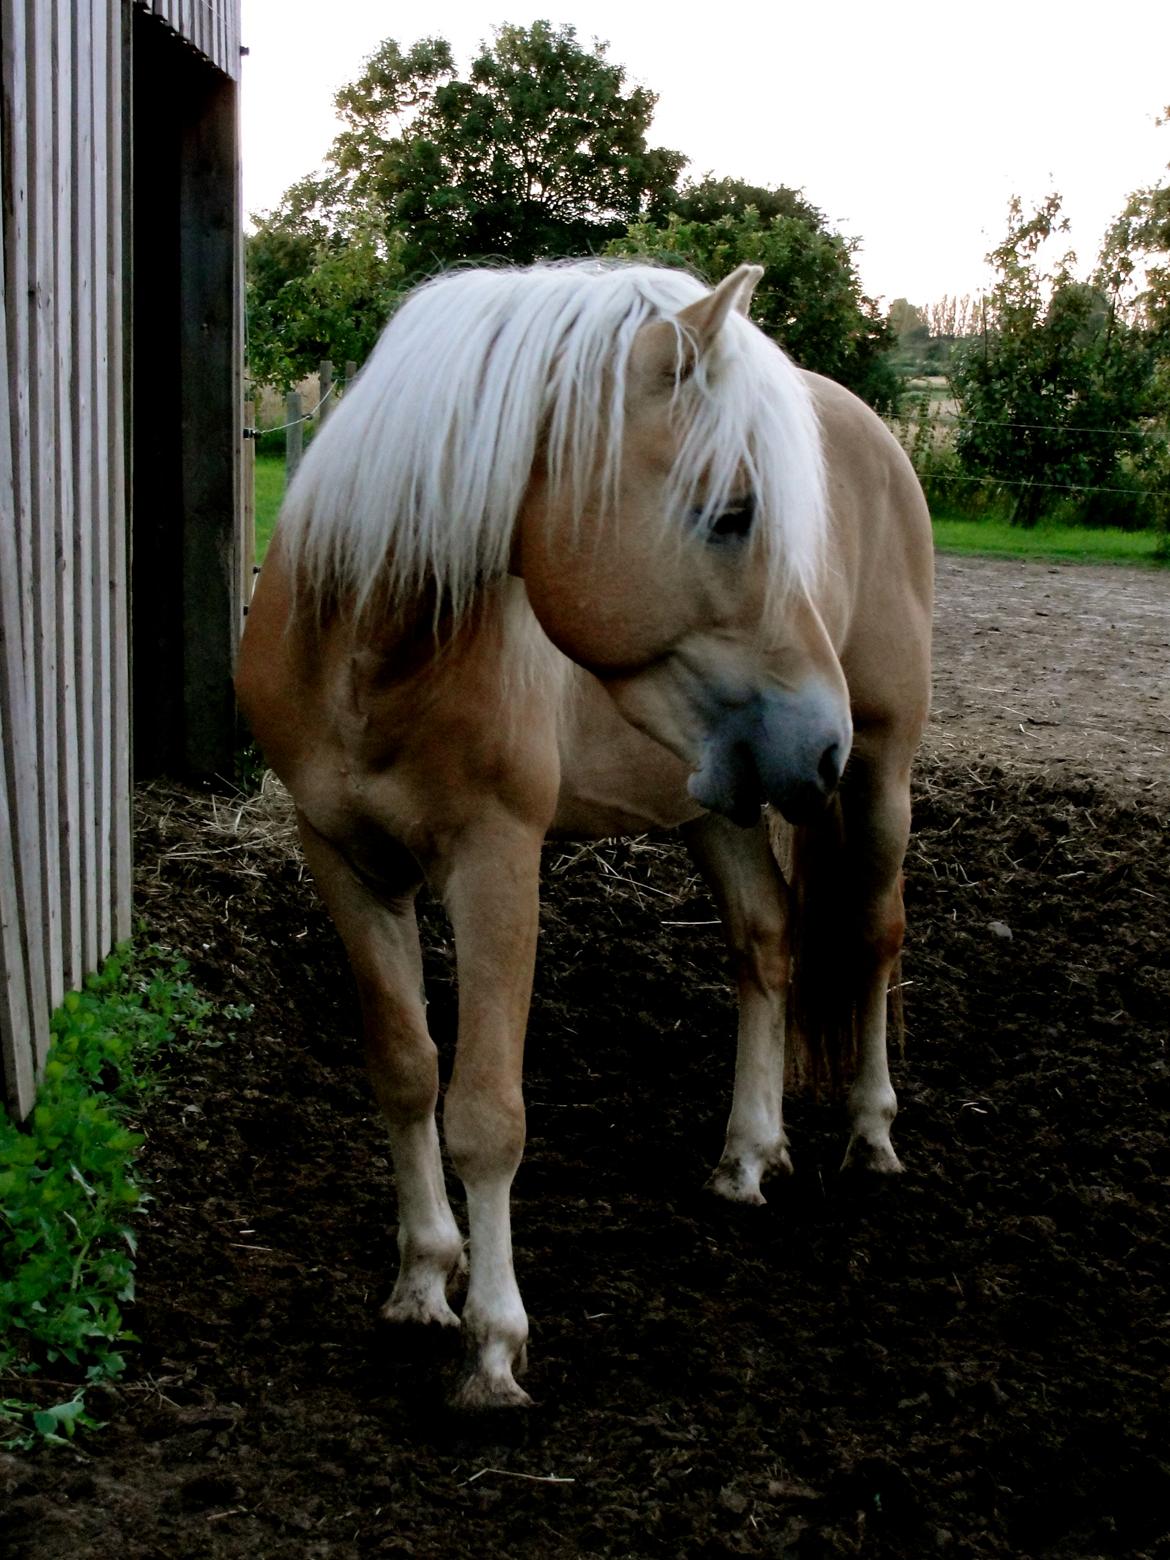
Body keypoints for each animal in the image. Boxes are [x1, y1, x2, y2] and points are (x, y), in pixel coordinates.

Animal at [235, 258, 935, 1416]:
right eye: (734, 513)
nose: (817, 739)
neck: (370, 646)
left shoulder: (496, 864)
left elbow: (486, 1112)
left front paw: (493, 1344)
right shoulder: (342, 860)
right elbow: (405, 1071)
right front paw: (423, 1279)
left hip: (883, 776)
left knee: (874, 937)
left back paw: (873, 1130)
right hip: (718, 802)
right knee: (767, 942)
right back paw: (749, 1155)